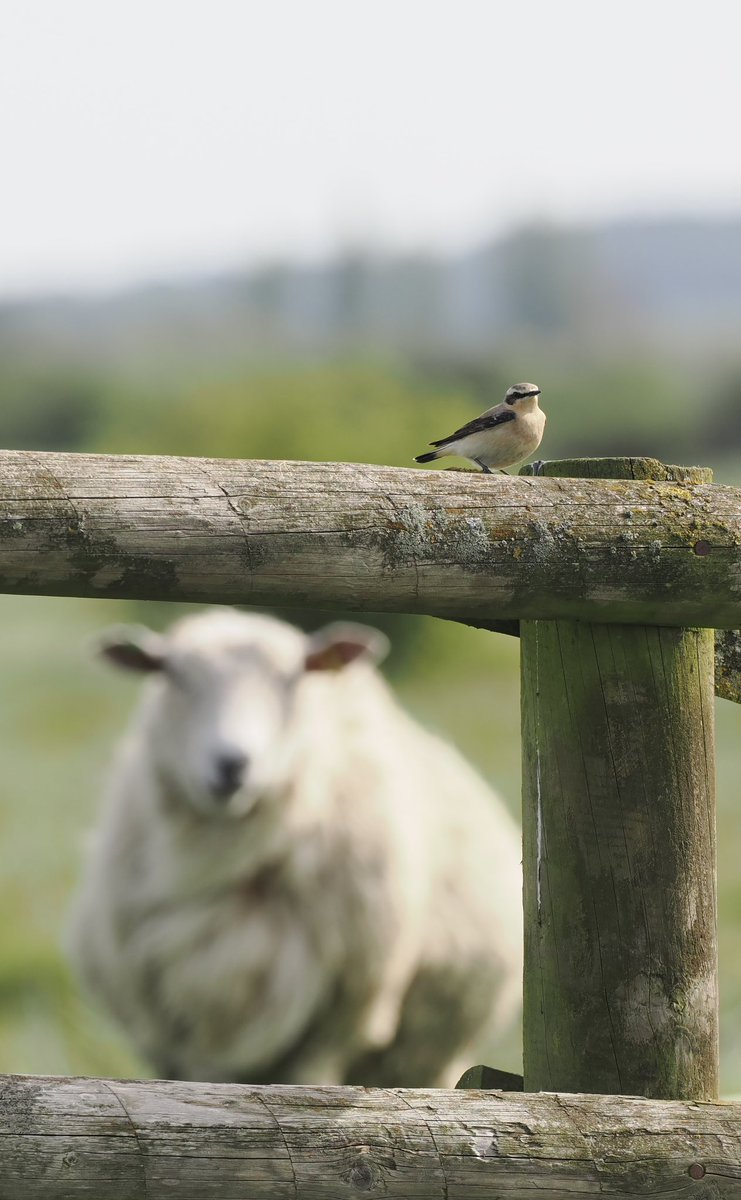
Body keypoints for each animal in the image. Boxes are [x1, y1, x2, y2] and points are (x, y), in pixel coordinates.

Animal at [67, 609, 520, 1089]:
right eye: (172, 674)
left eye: (291, 679)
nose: (232, 764)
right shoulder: (172, 1031)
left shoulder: (337, 1022)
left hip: (430, 1057)